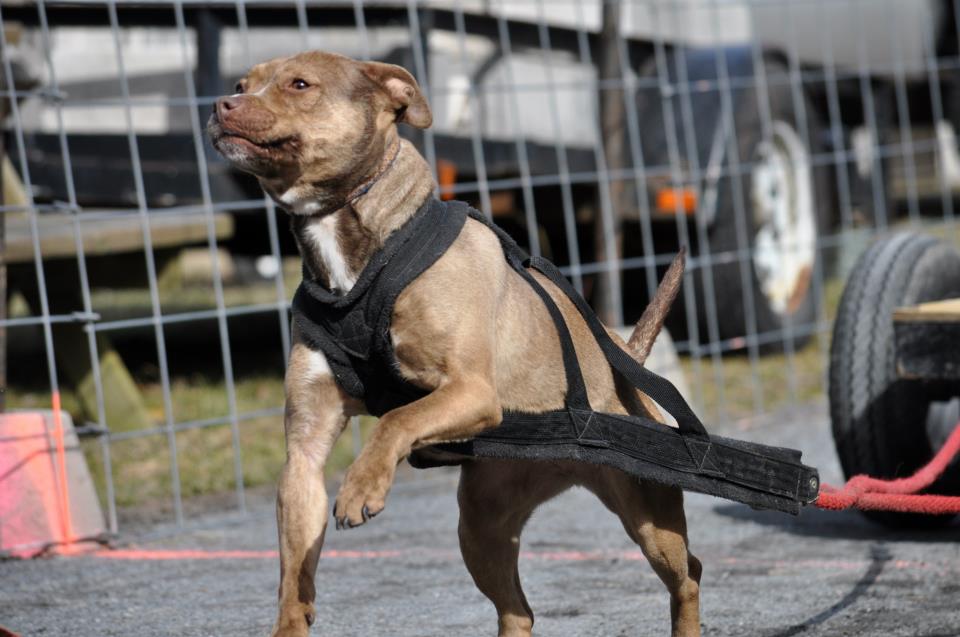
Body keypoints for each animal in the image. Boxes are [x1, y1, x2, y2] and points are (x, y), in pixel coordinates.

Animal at [210, 51, 700, 636]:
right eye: (242, 83)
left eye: (299, 84)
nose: (220, 104)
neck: (355, 252)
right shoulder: (305, 449)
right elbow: (293, 570)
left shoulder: (471, 390)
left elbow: (397, 420)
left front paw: (361, 486)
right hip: (481, 523)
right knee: (518, 610)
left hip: (650, 517)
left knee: (688, 575)